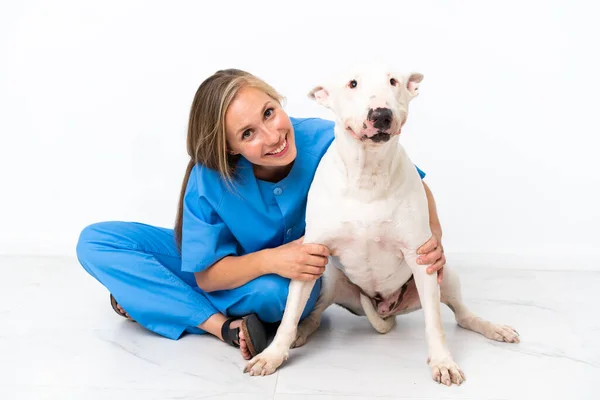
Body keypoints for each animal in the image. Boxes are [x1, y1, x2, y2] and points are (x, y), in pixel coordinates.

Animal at [245, 65, 520, 384]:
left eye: (393, 81)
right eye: (352, 83)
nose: (381, 114)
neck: (368, 173)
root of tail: (386, 309)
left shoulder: (421, 258)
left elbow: (435, 322)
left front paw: (442, 361)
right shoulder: (311, 254)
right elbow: (289, 316)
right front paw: (272, 355)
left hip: (444, 273)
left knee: (462, 315)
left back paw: (493, 328)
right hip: (329, 278)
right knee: (314, 314)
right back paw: (302, 332)